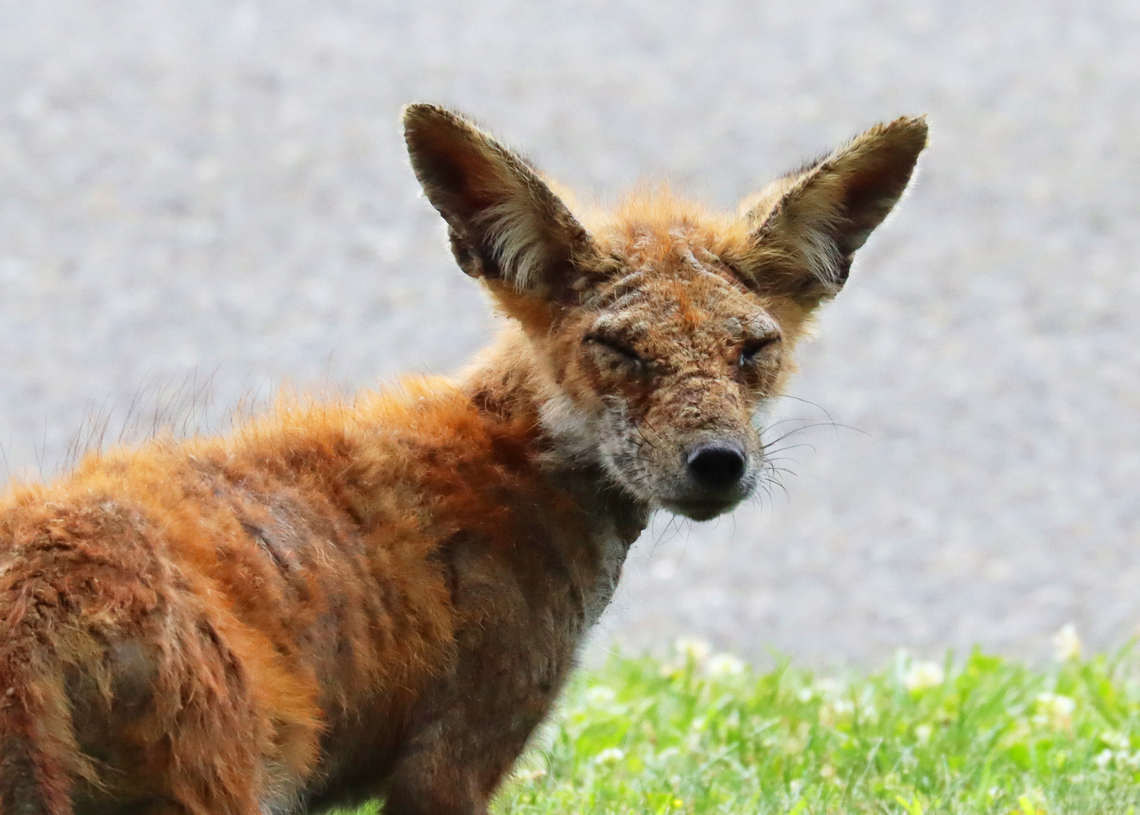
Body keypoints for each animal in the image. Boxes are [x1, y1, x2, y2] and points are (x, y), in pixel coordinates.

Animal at [0, 104, 926, 815]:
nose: (719, 462)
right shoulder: (455, 758)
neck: (513, 464)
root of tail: (37, 592)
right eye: (620, 350)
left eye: (753, 351)